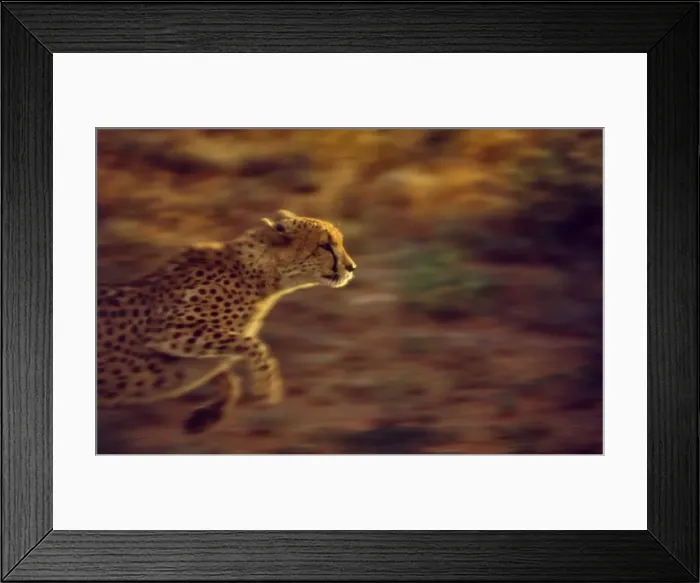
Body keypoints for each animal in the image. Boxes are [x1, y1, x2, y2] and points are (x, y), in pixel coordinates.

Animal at [97, 209, 356, 432]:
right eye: (325, 245)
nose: (352, 267)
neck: (259, 276)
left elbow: (227, 368)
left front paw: (207, 416)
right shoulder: (168, 331)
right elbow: (253, 345)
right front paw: (265, 387)